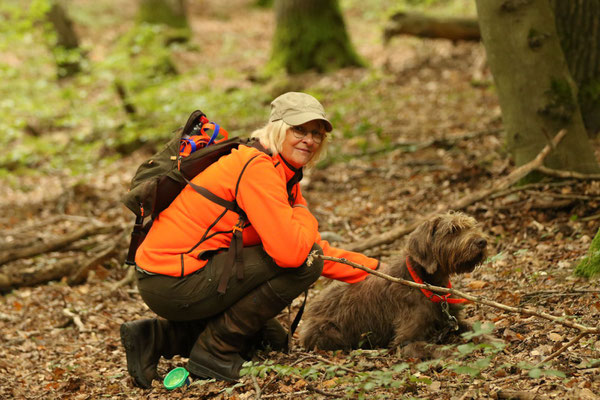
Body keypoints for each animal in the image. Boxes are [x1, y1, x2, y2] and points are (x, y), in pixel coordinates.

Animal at [300, 211, 488, 354]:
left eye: (471, 226)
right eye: (452, 230)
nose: (482, 242)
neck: (425, 284)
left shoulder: (453, 320)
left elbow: (475, 329)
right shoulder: (404, 342)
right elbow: (434, 348)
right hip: (328, 332)